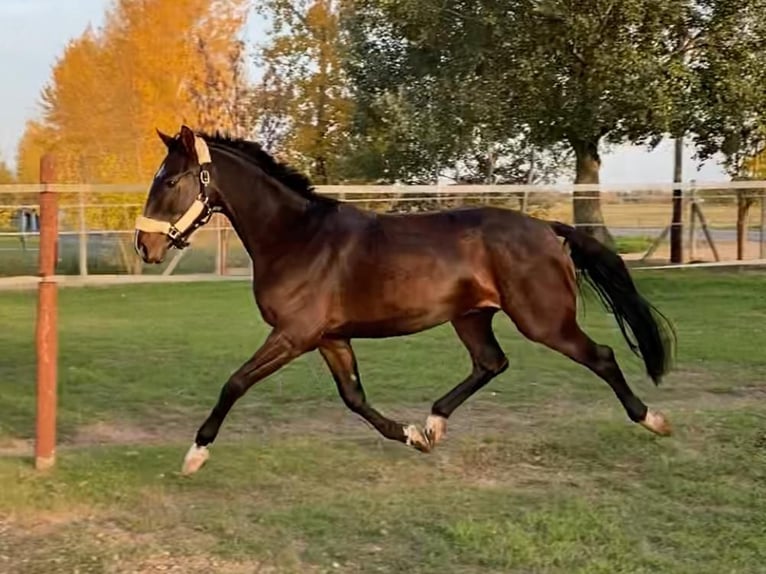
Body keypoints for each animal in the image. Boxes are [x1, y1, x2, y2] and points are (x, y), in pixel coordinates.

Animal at [135, 126, 676, 476]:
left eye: (169, 180)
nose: (145, 246)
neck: (297, 237)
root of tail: (549, 229)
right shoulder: (329, 338)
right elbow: (354, 398)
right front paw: (412, 435)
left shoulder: (294, 334)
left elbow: (236, 382)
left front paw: (195, 454)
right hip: (471, 317)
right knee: (491, 363)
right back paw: (434, 424)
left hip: (544, 321)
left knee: (600, 356)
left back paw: (653, 420)